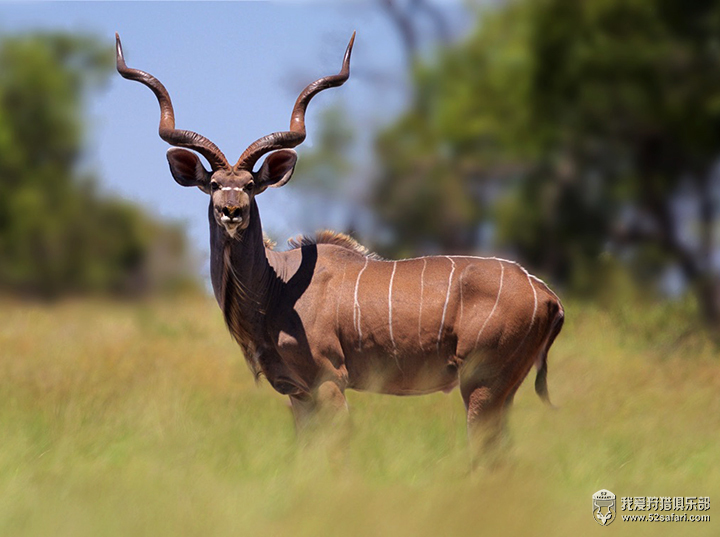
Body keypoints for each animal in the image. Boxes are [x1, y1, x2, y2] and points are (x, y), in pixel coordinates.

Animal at [116, 30, 564, 456]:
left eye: (250, 185)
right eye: (213, 185)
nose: (231, 212)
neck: (276, 286)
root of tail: (547, 295)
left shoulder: (329, 381)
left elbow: (336, 450)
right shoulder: (297, 394)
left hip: (481, 385)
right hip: (499, 390)